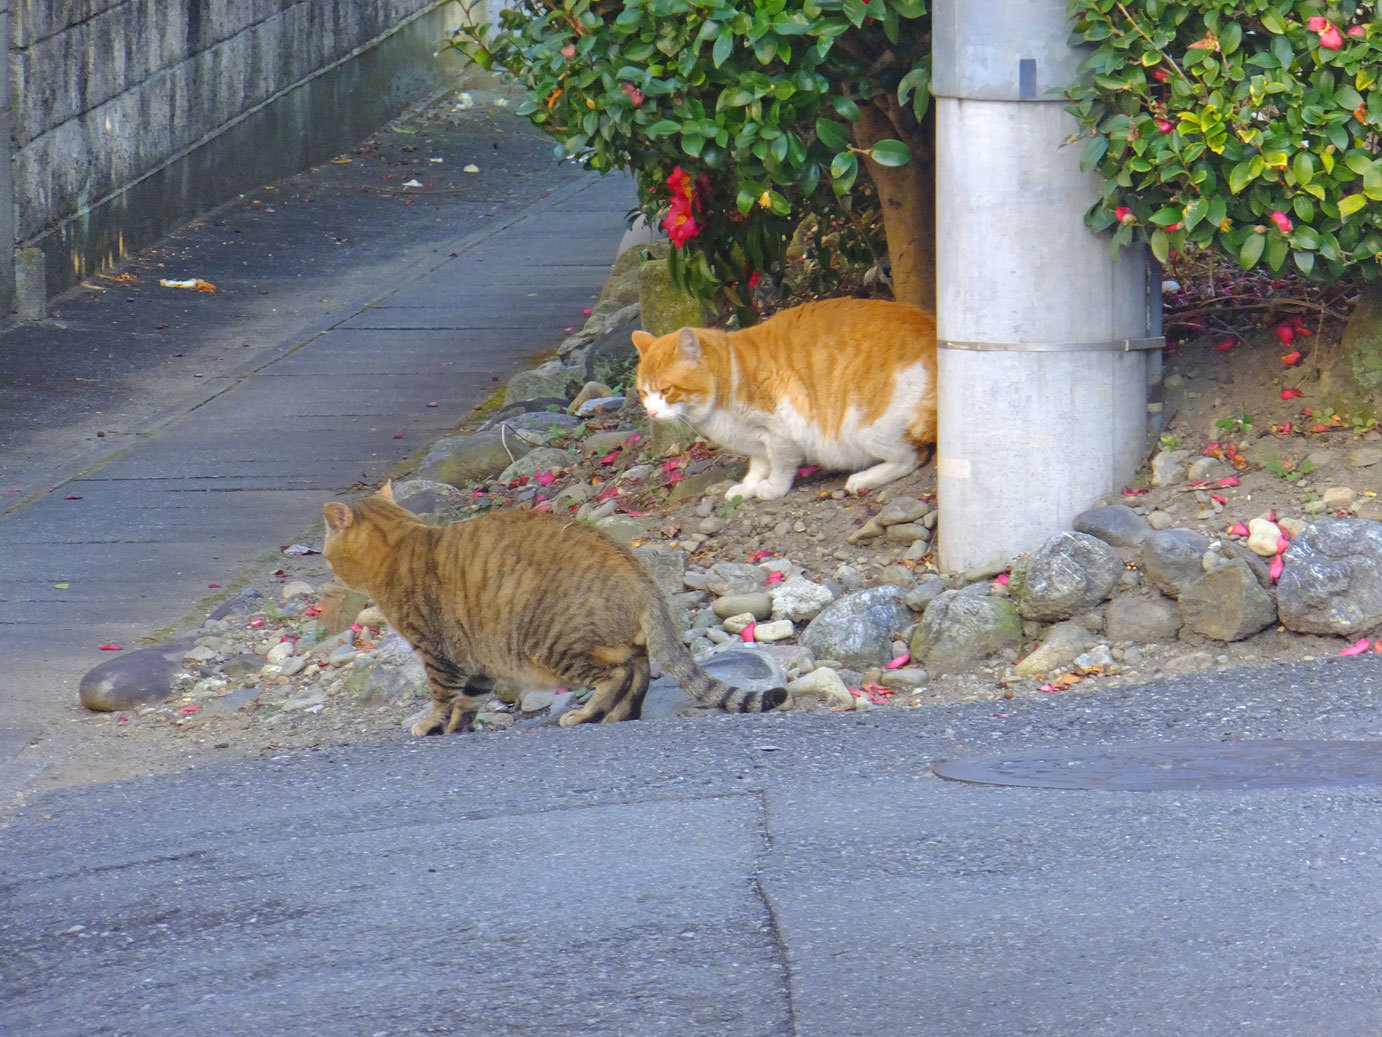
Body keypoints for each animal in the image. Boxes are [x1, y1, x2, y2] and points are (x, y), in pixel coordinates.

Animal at [316, 483, 784, 735]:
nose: (327, 568)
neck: (403, 542)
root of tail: (639, 573)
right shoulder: (479, 659)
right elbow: (467, 702)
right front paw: (455, 730)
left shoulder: (438, 653)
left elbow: (442, 698)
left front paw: (431, 725)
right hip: (605, 642)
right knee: (638, 670)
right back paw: (618, 716)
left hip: (550, 642)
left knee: (617, 674)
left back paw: (586, 714)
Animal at [632, 298, 939, 500]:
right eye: (644, 393)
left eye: (666, 391)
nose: (652, 413)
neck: (732, 375)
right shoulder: (756, 442)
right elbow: (757, 466)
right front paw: (748, 487)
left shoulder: (782, 431)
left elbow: (780, 466)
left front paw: (771, 489)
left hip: (868, 429)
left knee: (912, 457)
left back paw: (862, 478)